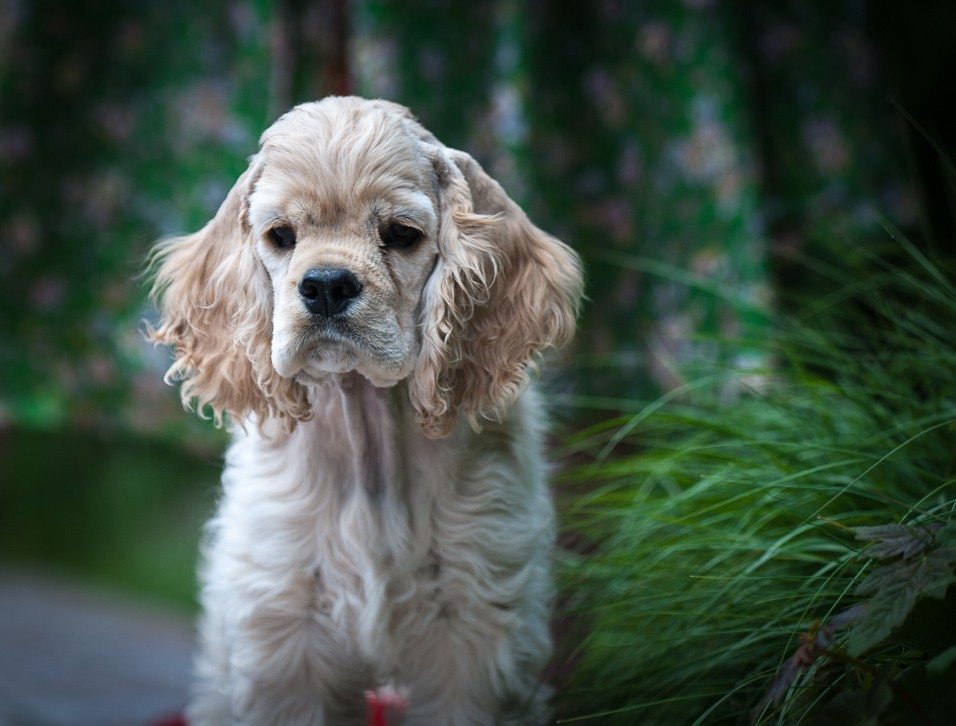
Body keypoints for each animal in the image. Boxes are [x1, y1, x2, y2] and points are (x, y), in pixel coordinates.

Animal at [148, 98, 584, 726]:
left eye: (401, 234)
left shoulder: (476, 630)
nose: (327, 285)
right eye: (281, 235)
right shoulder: (285, 628)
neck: (369, 431)